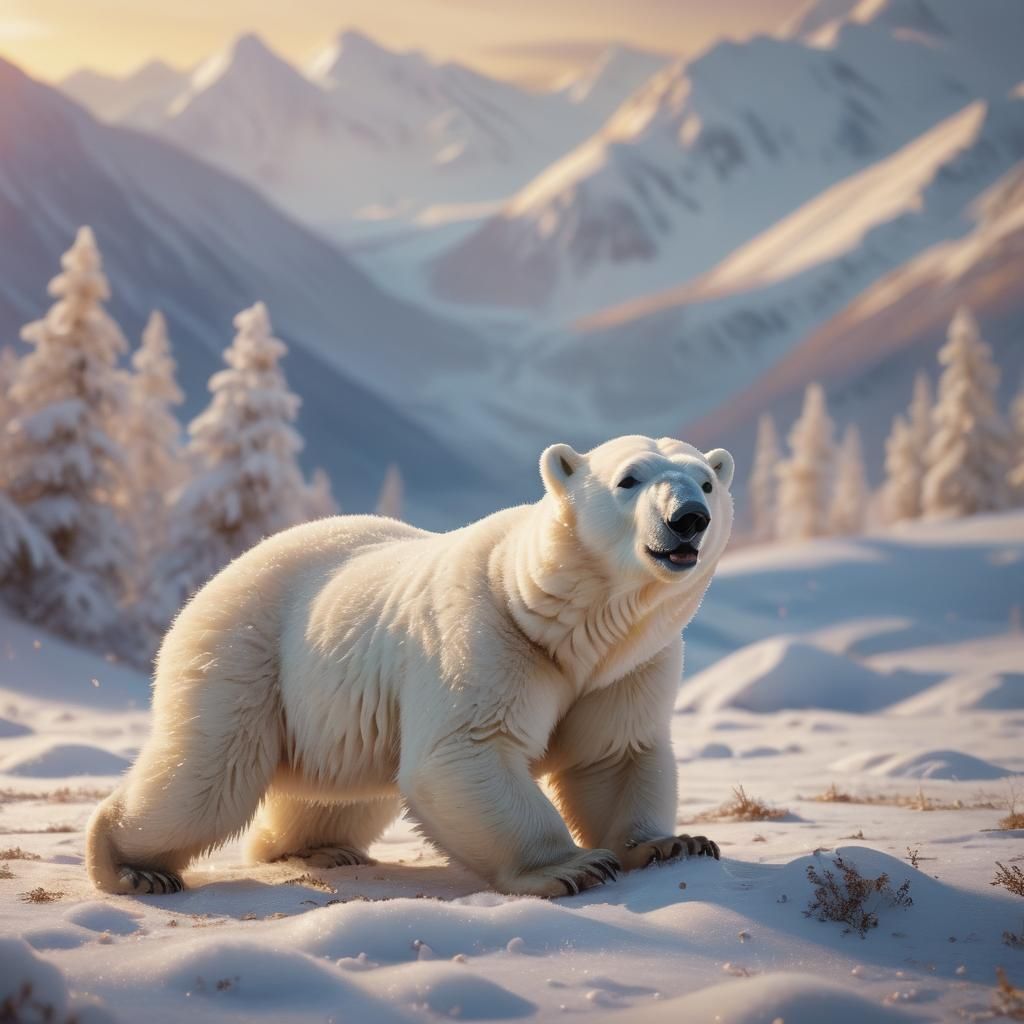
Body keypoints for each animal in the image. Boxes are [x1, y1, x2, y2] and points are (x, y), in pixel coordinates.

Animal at [86, 434, 735, 898]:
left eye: (706, 481)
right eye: (629, 478)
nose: (688, 518)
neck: (557, 618)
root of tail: (215, 580)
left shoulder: (627, 665)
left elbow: (614, 753)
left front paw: (671, 844)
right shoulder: (486, 636)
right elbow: (465, 750)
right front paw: (571, 868)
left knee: (335, 793)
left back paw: (319, 849)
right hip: (246, 653)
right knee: (207, 777)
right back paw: (130, 866)